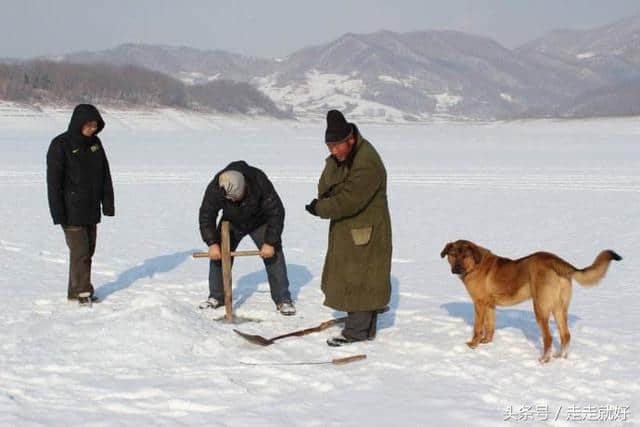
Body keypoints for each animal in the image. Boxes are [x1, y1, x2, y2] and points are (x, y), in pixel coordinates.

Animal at [440, 239, 620, 362]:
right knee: (566, 335)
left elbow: (478, 327)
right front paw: (487, 343)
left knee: (548, 338)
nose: (456, 269)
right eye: (453, 255)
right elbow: (490, 327)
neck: (475, 265)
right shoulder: (490, 305)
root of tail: (557, 261)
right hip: (559, 308)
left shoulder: (479, 303)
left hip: (540, 308)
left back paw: (544, 360)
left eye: (465, 256)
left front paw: (473, 345)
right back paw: (561, 357)